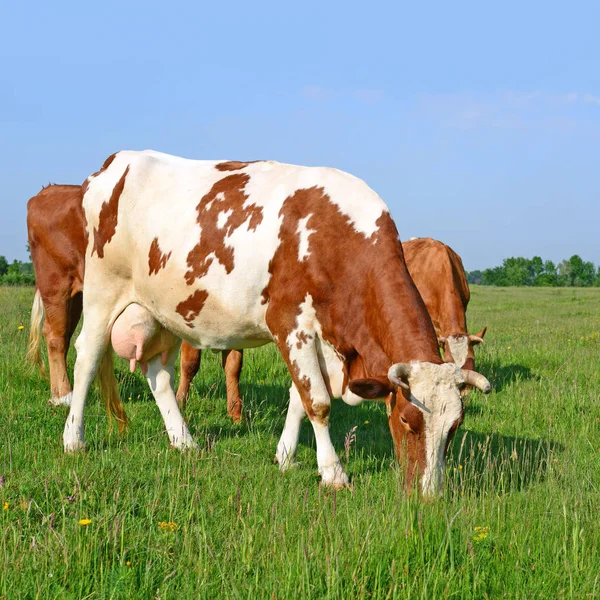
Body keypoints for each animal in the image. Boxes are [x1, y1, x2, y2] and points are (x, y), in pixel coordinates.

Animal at [25, 183, 241, 422]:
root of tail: (49, 190)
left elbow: (233, 365)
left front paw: (236, 414)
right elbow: (190, 362)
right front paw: (182, 402)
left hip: (79, 296)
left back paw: (58, 394)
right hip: (57, 285)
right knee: (56, 336)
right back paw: (64, 396)